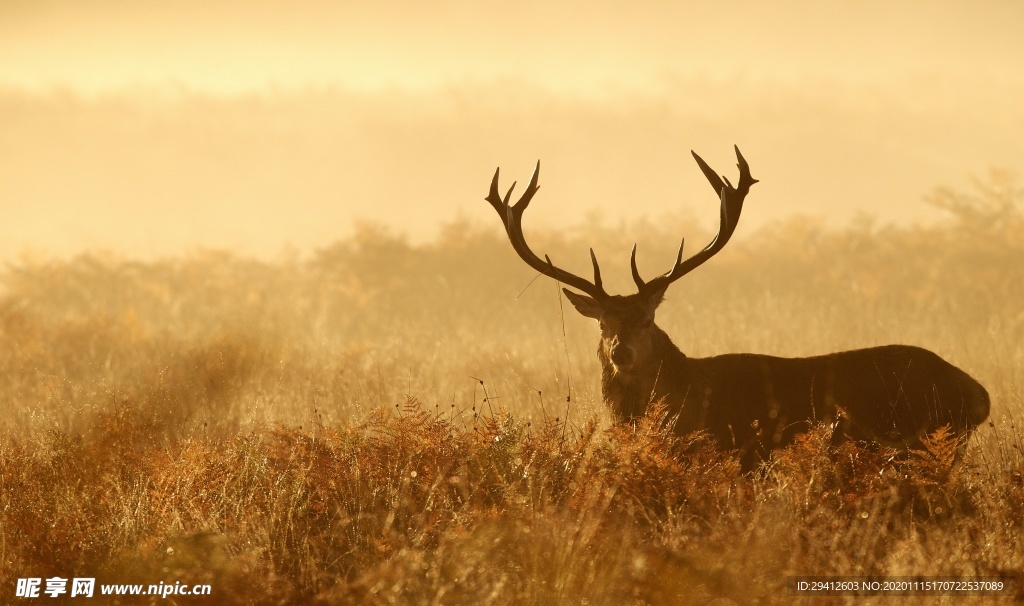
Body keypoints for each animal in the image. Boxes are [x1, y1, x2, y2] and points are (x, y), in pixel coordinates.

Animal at [483, 145, 987, 468]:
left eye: (647, 319)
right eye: (603, 323)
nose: (620, 351)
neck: (686, 398)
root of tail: (980, 395)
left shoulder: (738, 451)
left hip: (923, 439)